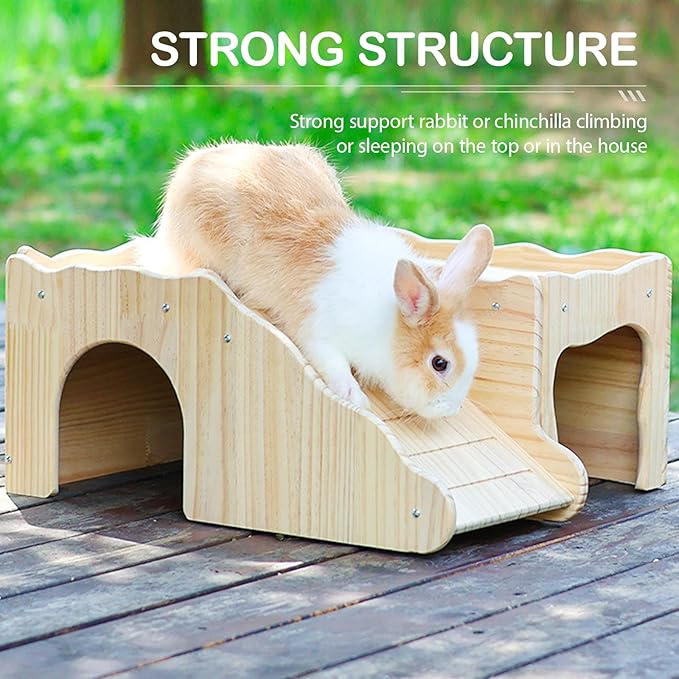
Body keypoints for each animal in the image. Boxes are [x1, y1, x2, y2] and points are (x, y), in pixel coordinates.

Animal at [135, 142, 494, 419]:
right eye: (439, 363)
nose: (450, 410)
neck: (388, 323)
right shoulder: (319, 334)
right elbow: (334, 365)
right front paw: (355, 397)